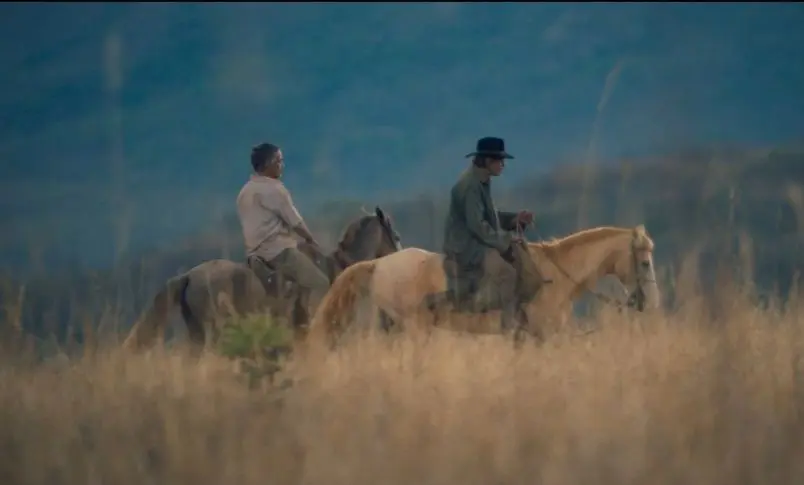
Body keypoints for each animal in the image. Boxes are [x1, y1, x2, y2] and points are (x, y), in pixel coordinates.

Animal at [302, 223, 660, 348]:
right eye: (644, 262)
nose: (652, 302)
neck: (556, 275)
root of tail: (379, 264)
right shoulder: (545, 334)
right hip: (414, 328)